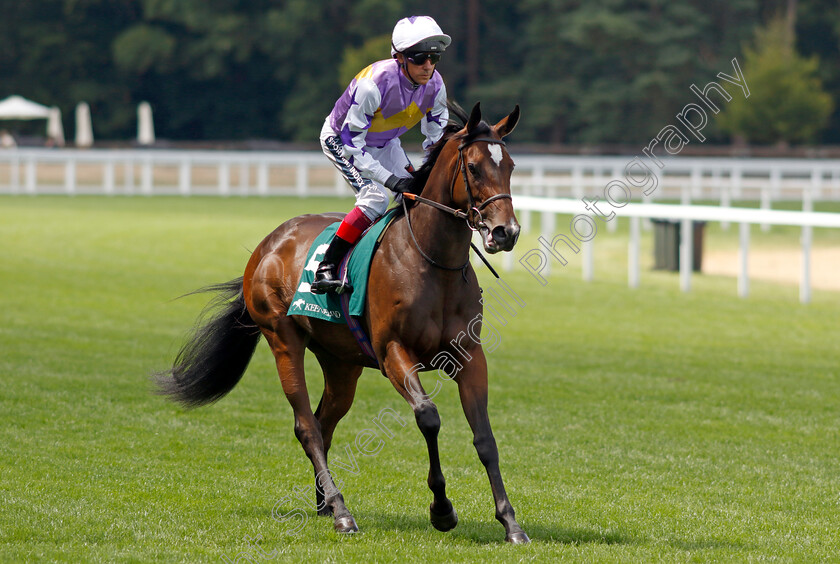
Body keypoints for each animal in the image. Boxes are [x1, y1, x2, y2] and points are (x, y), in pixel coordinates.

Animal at [154, 103, 528, 544]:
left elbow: (485, 437)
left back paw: (325, 502)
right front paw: (441, 510)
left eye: (511, 166)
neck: (432, 263)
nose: (506, 232)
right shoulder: (393, 353)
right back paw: (341, 512)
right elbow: (428, 417)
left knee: (324, 420)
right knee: (307, 426)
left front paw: (510, 522)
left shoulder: (469, 356)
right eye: (472, 167)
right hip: (283, 340)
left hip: (341, 362)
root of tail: (267, 245)